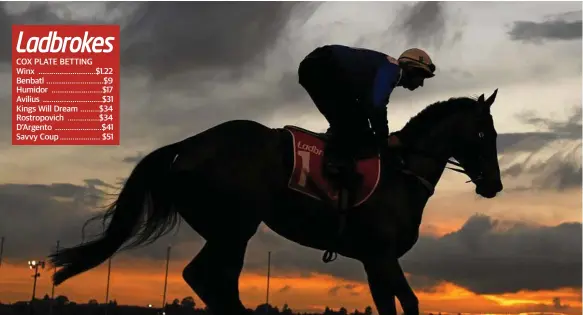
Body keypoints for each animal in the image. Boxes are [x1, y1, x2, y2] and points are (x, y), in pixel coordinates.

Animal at [50, 89, 504, 315]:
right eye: (485, 134)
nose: (495, 186)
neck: (401, 172)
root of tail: (186, 146)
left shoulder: (375, 262)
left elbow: (390, 305)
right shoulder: (381, 256)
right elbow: (408, 303)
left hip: (228, 230)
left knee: (213, 282)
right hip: (236, 227)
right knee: (207, 279)